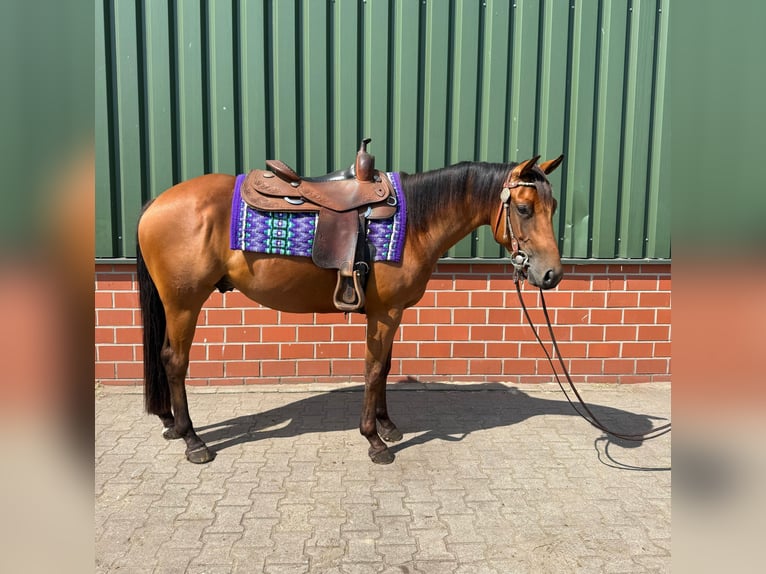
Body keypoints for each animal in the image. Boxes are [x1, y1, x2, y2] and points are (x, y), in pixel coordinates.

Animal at [136, 154, 565, 465]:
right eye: (524, 209)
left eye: (554, 206)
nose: (551, 275)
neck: (416, 221)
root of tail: (156, 201)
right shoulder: (384, 313)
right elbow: (373, 370)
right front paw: (375, 441)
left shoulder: (391, 312)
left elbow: (385, 368)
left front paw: (387, 426)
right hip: (184, 303)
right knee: (174, 361)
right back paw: (193, 440)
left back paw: (171, 424)